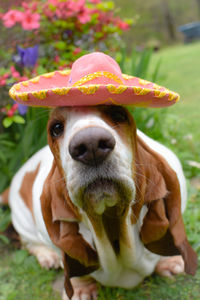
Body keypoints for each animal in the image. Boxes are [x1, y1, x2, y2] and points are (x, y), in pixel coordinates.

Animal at [0, 104, 197, 298]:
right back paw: (47, 257)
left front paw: (170, 261)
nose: (90, 145)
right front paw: (81, 289)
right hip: (24, 221)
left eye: (118, 114)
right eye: (56, 128)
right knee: (28, 242)